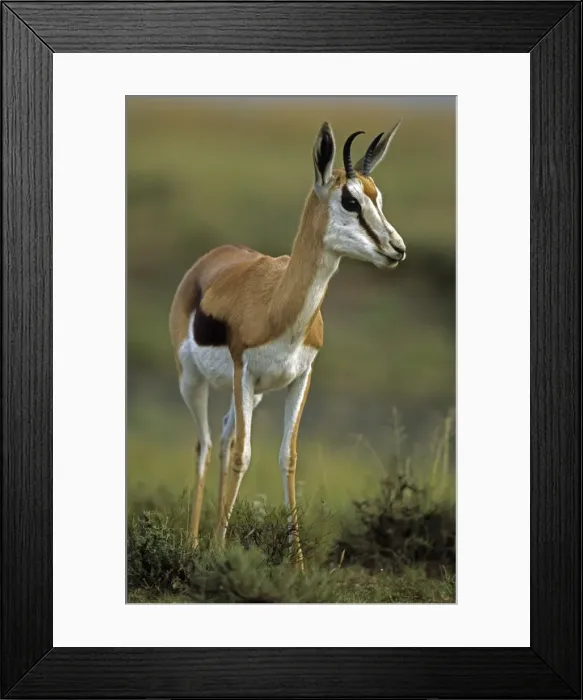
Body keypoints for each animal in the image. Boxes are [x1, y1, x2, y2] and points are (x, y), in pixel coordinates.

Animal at [169, 121, 406, 568]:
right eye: (350, 200)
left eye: (378, 197)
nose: (397, 249)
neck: (278, 307)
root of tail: (209, 261)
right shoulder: (244, 372)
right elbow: (244, 456)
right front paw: (219, 552)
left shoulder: (300, 378)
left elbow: (287, 457)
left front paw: (297, 564)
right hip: (194, 381)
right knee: (205, 444)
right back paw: (192, 544)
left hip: (252, 394)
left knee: (224, 436)